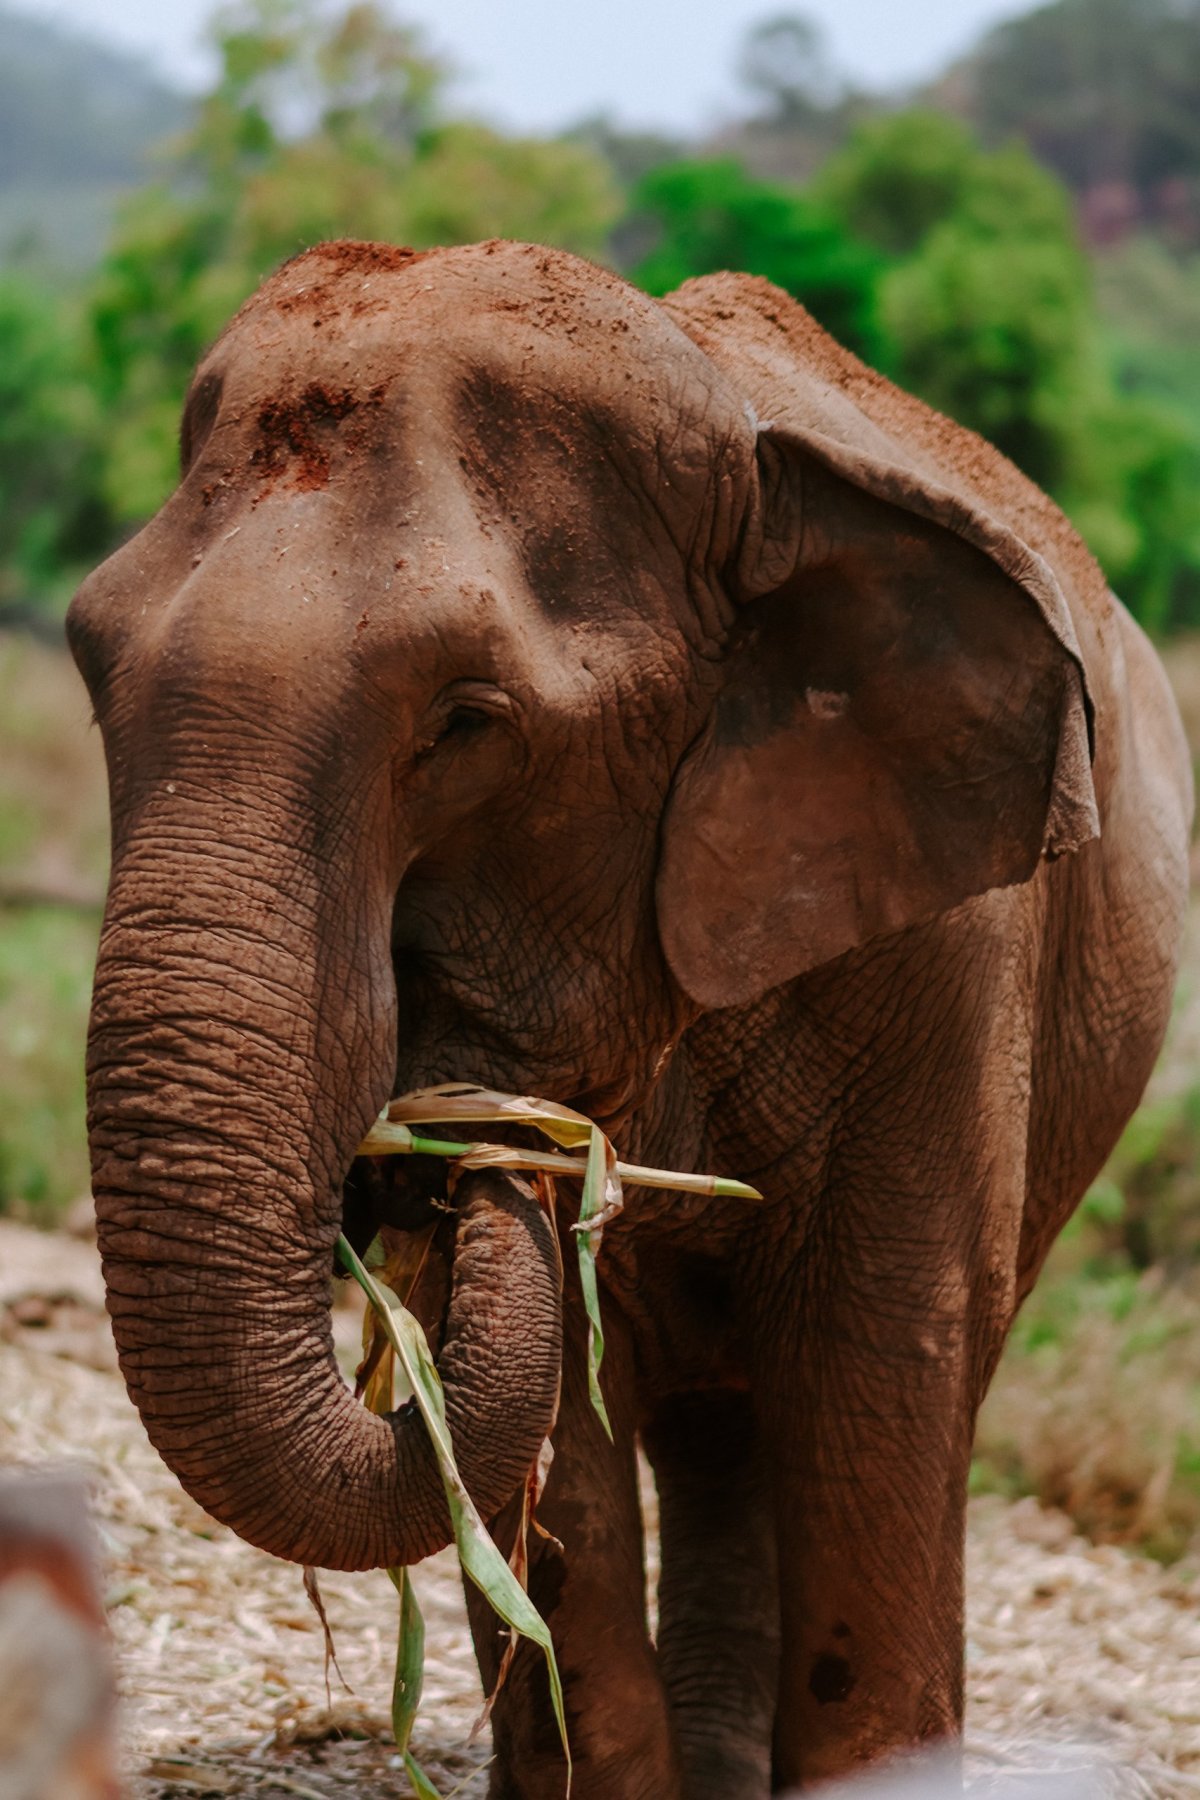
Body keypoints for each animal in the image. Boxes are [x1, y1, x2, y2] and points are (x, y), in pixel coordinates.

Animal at [70, 243, 1194, 1800]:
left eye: (466, 723)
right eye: (86, 663)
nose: (450, 1133)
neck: (752, 468)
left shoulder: (953, 957)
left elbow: (879, 1368)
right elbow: (556, 1443)